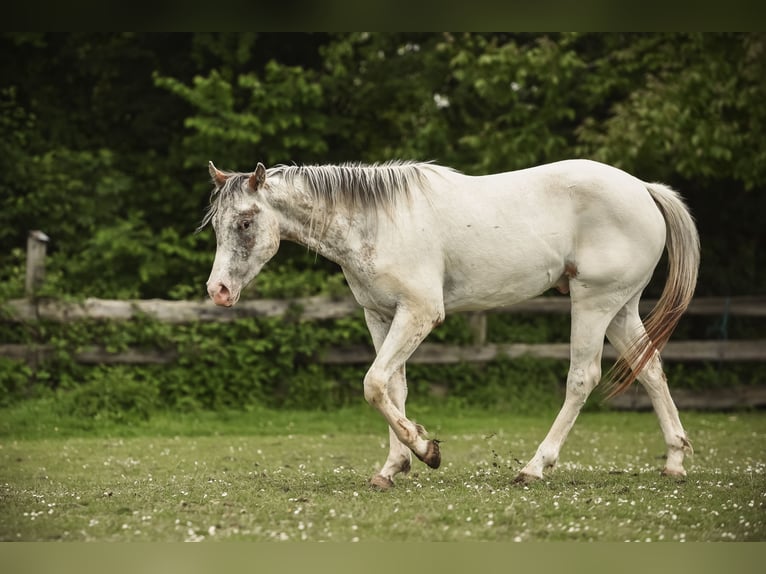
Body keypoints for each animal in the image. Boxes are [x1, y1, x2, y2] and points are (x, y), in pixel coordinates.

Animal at [202, 158, 700, 488]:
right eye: (217, 225)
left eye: (245, 222)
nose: (218, 291)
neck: (376, 222)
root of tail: (643, 189)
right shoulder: (381, 317)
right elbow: (393, 388)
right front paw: (392, 468)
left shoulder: (419, 313)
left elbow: (373, 384)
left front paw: (426, 451)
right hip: (621, 308)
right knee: (651, 371)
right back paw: (675, 461)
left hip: (594, 303)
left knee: (583, 378)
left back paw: (534, 467)